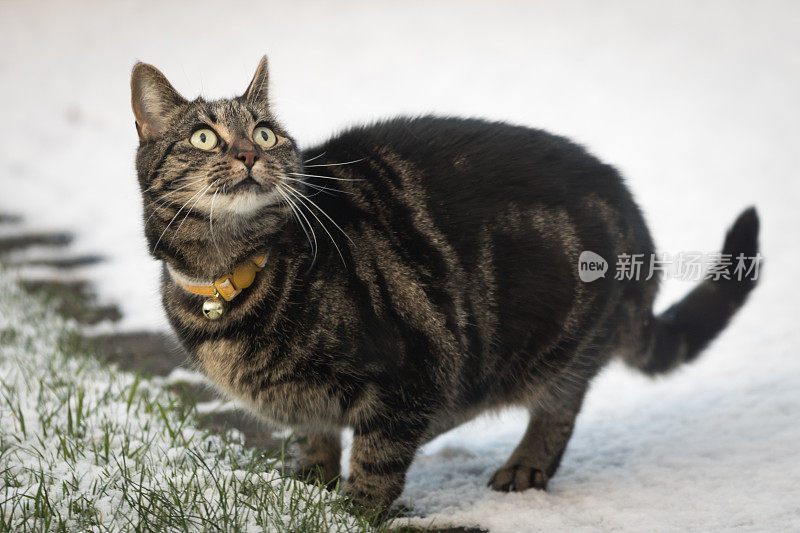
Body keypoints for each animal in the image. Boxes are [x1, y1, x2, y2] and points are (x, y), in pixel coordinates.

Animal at [131, 56, 764, 510]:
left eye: (264, 134)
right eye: (204, 138)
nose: (246, 153)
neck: (229, 276)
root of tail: (635, 215)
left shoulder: (412, 373)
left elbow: (376, 462)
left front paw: (348, 514)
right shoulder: (314, 407)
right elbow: (316, 440)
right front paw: (305, 492)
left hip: (559, 343)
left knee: (557, 407)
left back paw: (524, 465)